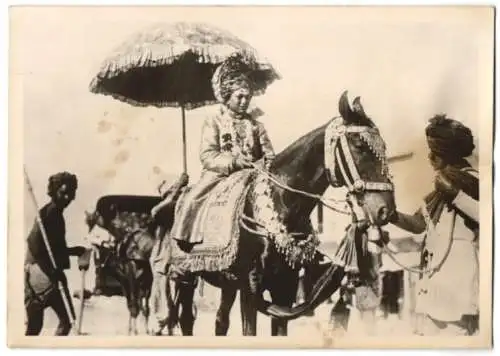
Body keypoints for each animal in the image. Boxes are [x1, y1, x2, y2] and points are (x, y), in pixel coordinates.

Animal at [84, 196, 158, 336]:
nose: (96, 290)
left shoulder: (136, 283)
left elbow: (138, 306)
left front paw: (138, 330)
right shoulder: (137, 283)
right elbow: (138, 306)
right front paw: (137, 330)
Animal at [154, 90, 396, 336]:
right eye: (359, 145)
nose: (385, 210)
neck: (282, 203)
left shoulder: (285, 286)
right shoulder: (251, 285)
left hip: (227, 282)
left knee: (220, 321)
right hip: (185, 277)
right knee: (186, 319)